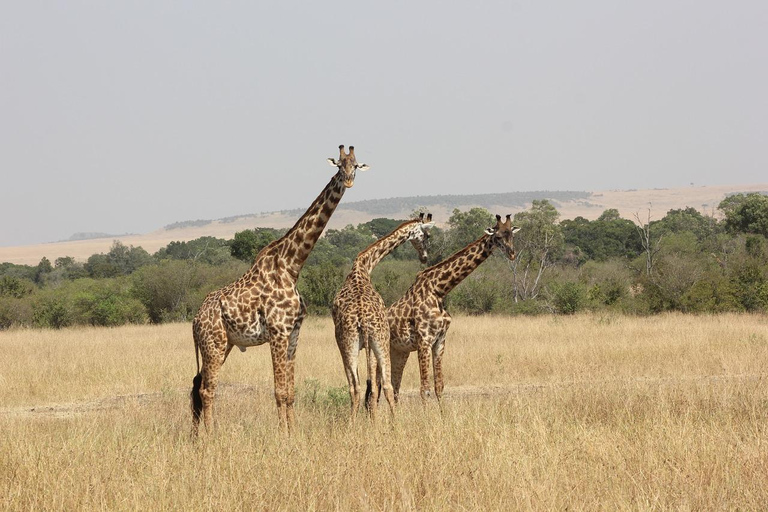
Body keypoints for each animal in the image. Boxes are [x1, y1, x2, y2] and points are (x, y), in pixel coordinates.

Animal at [194, 145, 370, 436]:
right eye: (338, 165)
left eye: (355, 165)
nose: (348, 181)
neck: (291, 266)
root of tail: (195, 319)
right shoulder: (277, 331)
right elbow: (278, 391)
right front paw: (282, 435)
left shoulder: (294, 332)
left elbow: (290, 391)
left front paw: (293, 432)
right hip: (213, 344)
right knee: (207, 390)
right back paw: (210, 436)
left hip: (224, 344)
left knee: (202, 387)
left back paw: (202, 433)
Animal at [332, 212, 436, 420]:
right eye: (427, 236)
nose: (424, 257)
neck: (364, 265)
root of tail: (362, 320)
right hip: (376, 341)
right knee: (385, 386)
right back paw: (393, 423)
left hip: (354, 343)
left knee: (357, 387)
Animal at [388, 214, 520, 402]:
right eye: (498, 236)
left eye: (512, 235)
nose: (512, 254)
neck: (439, 290)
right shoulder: (424, 341)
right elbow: (424, 389)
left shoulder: (440, 340)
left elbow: (439, 386)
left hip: (400, 351)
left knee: (393, 385)